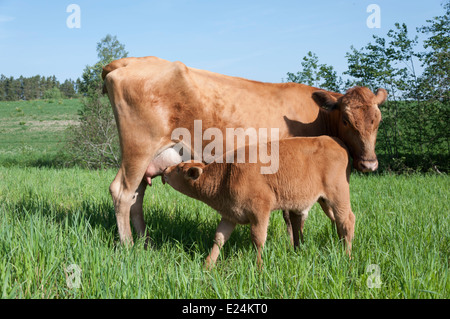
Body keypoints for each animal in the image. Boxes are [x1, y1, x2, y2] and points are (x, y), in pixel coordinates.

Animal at [102, 55, 386, 245]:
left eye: (378, 120)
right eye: (346, 120)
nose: (370, 164)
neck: (317, 116)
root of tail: (131, 61)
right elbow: (295, 215)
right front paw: (296, 246)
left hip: (148, 158)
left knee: (136, 198)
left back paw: (145, 243)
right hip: (138, 150)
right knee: (122, 193)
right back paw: (128, 245)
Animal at [163, 136, 356, 268]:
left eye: (179, 169)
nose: (165, 170)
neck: (226, 174)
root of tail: (334, 141)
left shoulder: (260, 210)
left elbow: (258, 239)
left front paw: (259, 266)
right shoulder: (230, 215)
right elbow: (219, 238)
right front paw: (208, 265)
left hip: (338, 196)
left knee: (347, 221)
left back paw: (347, 256)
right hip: (324, 201)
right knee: (338, 222)